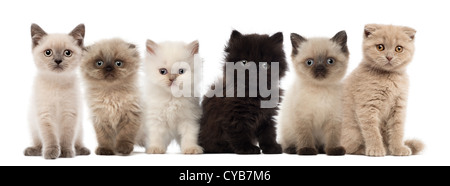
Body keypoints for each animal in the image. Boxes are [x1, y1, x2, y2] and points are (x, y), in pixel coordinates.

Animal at [24, 23, 90, 159]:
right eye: (48, 52)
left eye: (67, 53)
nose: (58, 61)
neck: (57, 83)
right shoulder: (45, 114)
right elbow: (50, 138)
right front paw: (51, 153)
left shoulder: (69, 114)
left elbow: (66, 138)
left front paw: (65, 153)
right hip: (33, 128)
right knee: (39, 144)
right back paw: (34, 151)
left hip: (80, 129)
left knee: (77, 142)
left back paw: (81, 150)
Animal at [342, 24, 424, 156]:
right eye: (380, 47)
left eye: (399, 49)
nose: (389, 57)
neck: (388, 78)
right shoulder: (367, 106)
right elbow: (372, 131)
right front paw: (376, 149)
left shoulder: (399, 106)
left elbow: (397, 129)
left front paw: (398, 148)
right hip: (351, 133)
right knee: (350, 148)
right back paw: (369, 149)